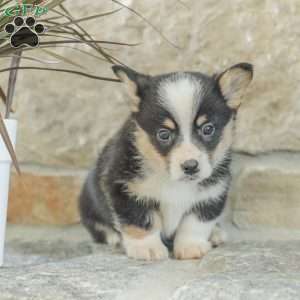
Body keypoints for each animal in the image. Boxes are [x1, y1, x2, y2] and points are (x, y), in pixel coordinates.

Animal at [79, 63, 253, 260]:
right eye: (164, 134)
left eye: (208, 129)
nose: (190, 166)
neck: (171, 179)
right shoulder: (124, 188)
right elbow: (141, 220)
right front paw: (147, 248)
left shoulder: (212, 193)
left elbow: (195, 223)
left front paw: (190, 246)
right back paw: (115, 238)